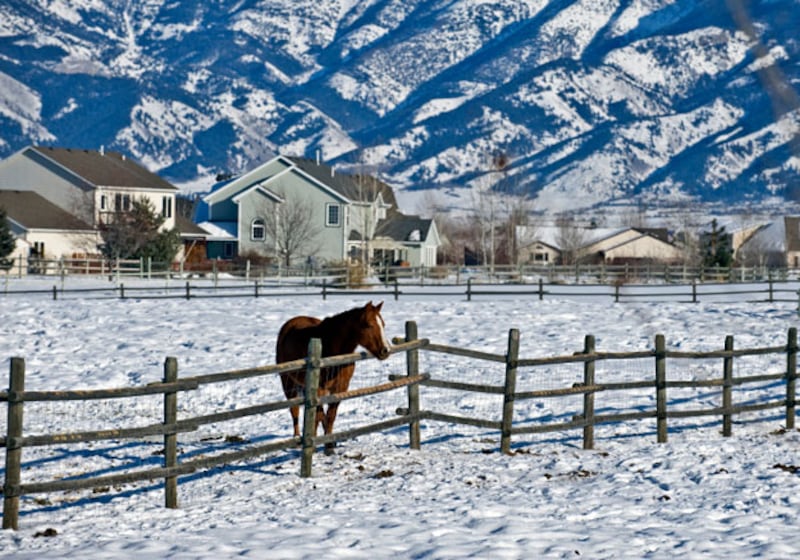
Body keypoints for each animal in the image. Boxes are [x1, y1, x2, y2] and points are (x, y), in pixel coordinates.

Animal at [276, 302, 390, 450]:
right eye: (369, 325)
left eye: (383, 324)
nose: (385, 350)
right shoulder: (318, 389)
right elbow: (318, 415)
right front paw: (317, 441)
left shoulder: (341, 387)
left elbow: (330, 415)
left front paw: (329, 443)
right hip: (288, 382)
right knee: (294, 410)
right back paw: (296, 437)